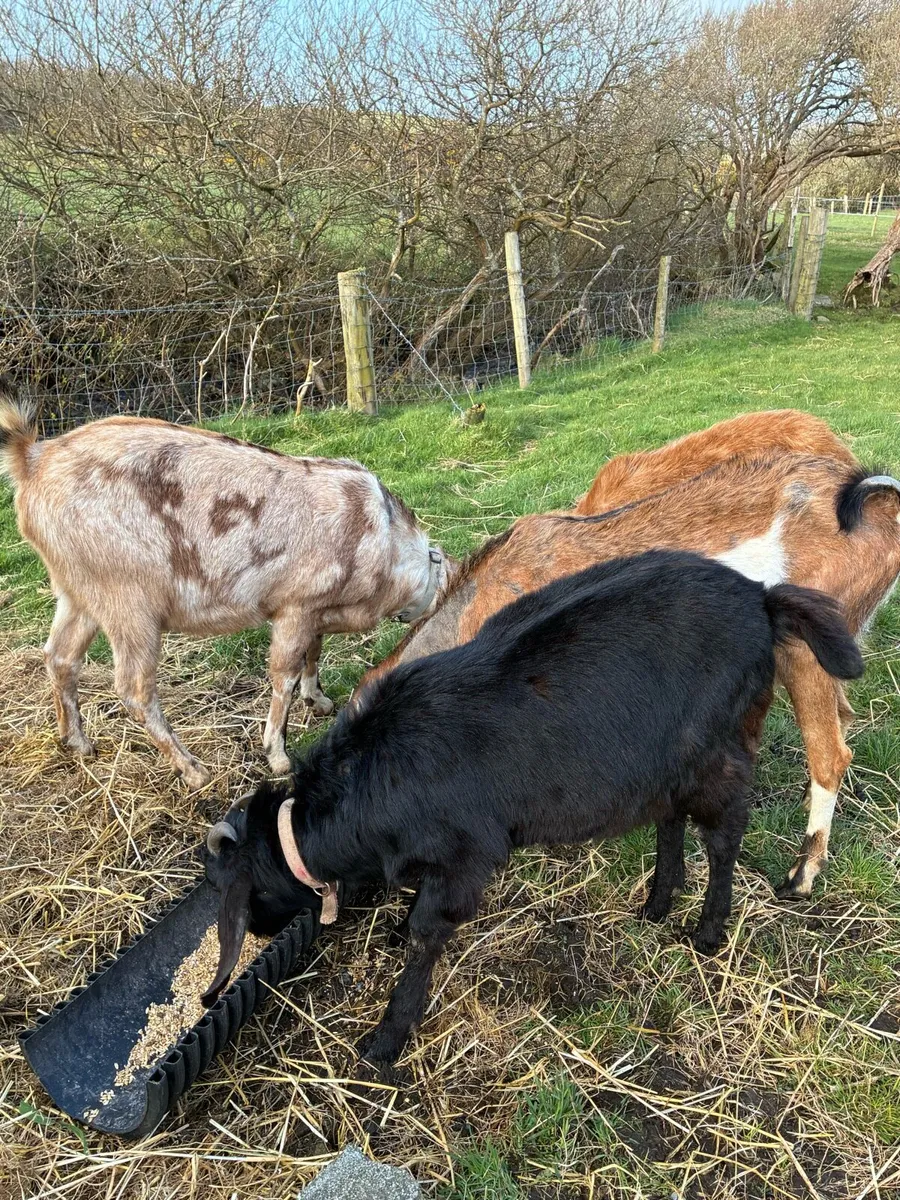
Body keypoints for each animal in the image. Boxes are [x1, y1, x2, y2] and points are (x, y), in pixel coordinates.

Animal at [0, 382, 450, 787]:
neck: (382, 539)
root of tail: (32, 459)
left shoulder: (315, 611)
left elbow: (314, 651)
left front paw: (318, 700)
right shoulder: (296, 605)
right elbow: (284, 674)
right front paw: (278, 756)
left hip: (78, 592)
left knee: (60, 658)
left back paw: (78, 743)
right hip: (127, 599)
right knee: (134, 689)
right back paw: (193, 770)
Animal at [203, 550, 863, 1067]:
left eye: (246, 897)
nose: (259, 933)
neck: (369, 782)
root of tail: (761, 596)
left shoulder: (465, 855)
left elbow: (425, 934)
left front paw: (387, 1038)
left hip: (720, 748)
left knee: (724, 838)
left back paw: (706, 932)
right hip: (665, 761)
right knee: (670, 818)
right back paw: (657, 903)